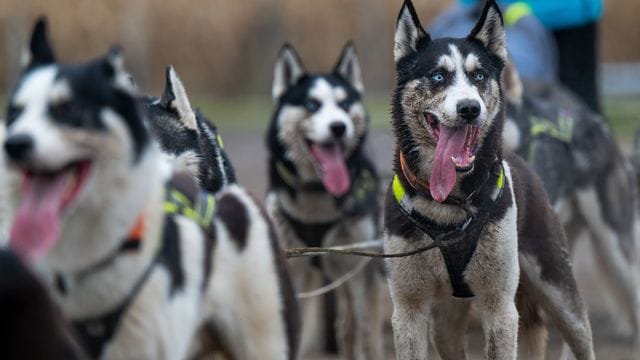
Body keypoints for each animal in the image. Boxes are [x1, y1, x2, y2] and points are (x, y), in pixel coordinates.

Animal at [266, 43, 384, 358]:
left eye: (345, 104)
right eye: (311, 104)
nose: (339, 127)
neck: (318, 196)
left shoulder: (358, 270)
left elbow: (364, 333)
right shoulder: (293, 270)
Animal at [384, 1, 600, 358]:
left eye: (479, 76)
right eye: (438, 76)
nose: (470, 107)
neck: (448, 207)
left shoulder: (499, 306)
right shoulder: (408, 308)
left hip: (560, 294)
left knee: (581, 335)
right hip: (445, 325)